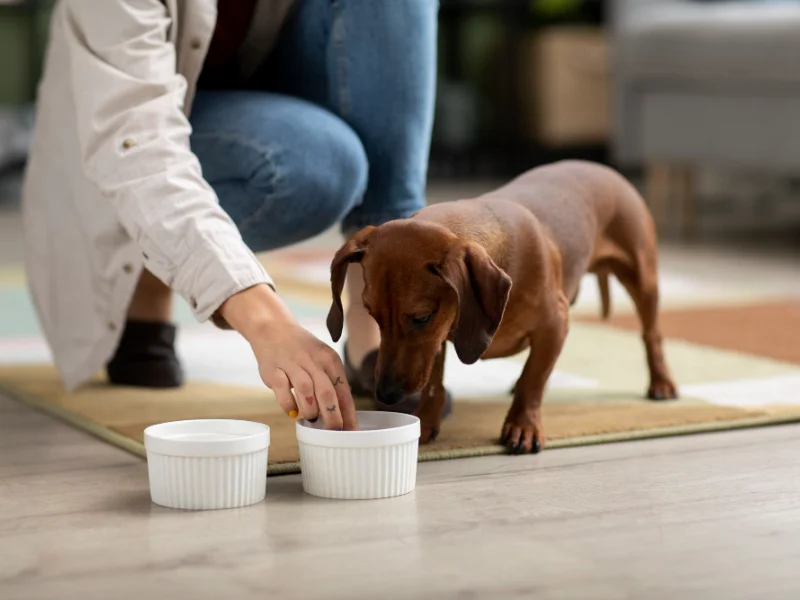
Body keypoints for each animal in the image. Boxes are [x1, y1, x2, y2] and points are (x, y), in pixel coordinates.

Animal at [328, 162, 680, 452]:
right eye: (372, 314)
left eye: (422, 317)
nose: (385, 395)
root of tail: (602, 167)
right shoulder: (439, 340)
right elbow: (434, 385)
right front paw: (425, 421)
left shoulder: (554, 324)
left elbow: (532, 382)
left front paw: (523, 425)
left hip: (642, 278)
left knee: (651, 334)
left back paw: (661, 382)